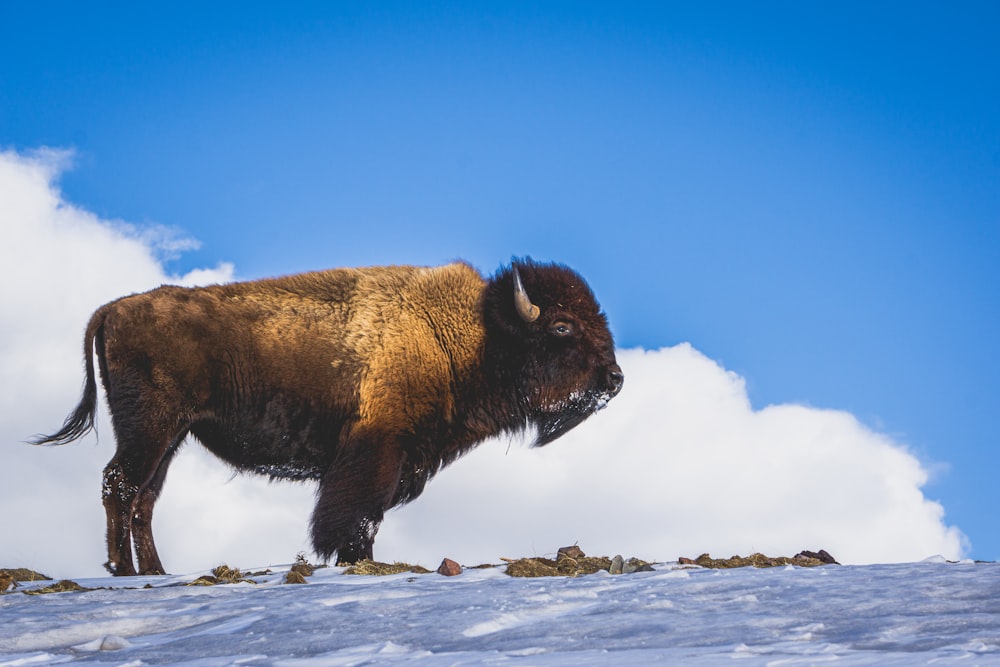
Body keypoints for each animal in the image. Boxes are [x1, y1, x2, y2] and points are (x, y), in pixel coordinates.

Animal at [35, 258, 620, 576]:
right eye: (562, 327)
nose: (614, 379)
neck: (466, 334)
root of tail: (112, 309)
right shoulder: (377, 450)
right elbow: (357, 515)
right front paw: (355, 557)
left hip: (171, 435)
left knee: (145, 497)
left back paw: (156, 570)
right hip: (150, 428)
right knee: (120, 483)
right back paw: (122, 570)